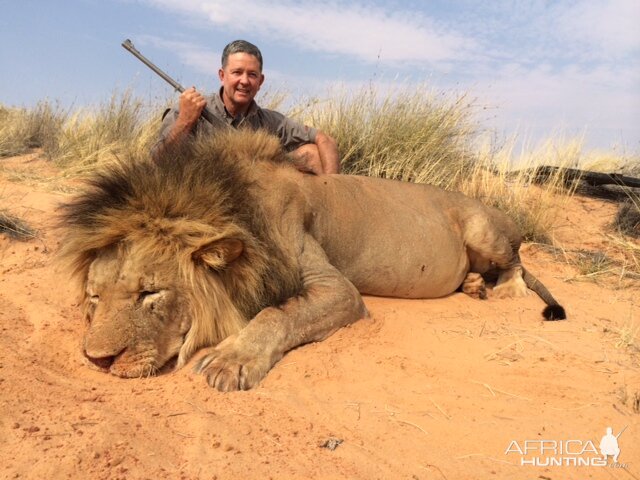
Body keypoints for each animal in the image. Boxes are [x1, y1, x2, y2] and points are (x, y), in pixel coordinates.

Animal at [57, 129, 564, 392]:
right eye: (94, 297)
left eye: (151, 293)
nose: (97, 360)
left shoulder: (338, 290)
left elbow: (277, 314)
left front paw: (228, 361)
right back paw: (475, 287)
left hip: (484, 229)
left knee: (517, 263)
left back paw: (504, 291)